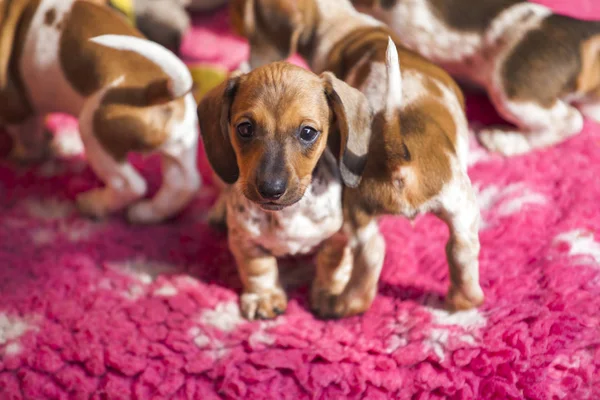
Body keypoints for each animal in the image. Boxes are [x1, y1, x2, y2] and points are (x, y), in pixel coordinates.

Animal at [0, 0, 202, 223]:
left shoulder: (14, 107)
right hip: (180, 146)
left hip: (95, 134)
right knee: (183, 183)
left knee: (130, 186)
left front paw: (25, 154)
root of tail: (157, 91)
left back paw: (93, 205)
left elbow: (27, 135)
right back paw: (145, 213)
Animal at [199, 61, 372, 318]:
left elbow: (332, 262)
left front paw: (330, 292)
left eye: (308, 132)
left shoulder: (338, 236)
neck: (289, 213)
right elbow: (258, 268)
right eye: (245, 128)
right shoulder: (244, 237)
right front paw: (263, 297)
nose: (271, 190)